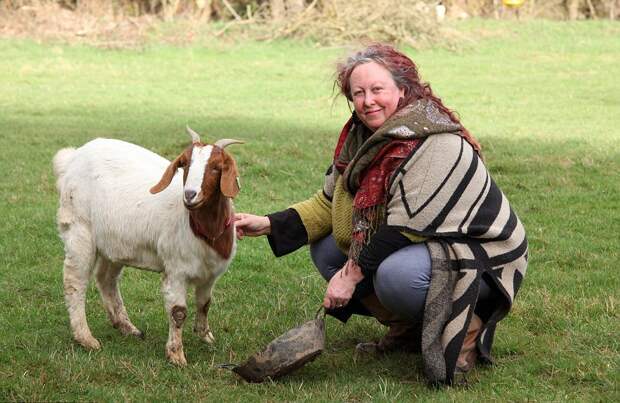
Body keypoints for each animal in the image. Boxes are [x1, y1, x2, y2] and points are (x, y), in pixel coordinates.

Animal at [53, 127, 243, 366]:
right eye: (185, 164)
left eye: (217, 167)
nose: (190, 195)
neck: (202, 229)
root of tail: (72, 158)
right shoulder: (176, 270)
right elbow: (178, 312)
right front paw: (176, 355)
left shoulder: (210, 274)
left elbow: (205, 304)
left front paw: (205, 336)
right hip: (79, 229)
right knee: (74, 281)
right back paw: (85, 338)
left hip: (115, 243)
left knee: (106, 279)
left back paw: (126, 327)